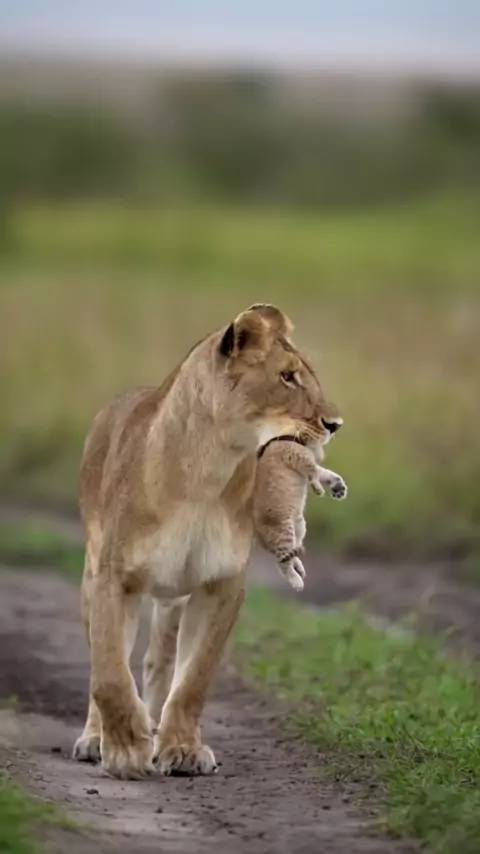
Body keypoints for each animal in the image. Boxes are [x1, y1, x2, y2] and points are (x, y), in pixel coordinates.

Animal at [254, 437, 347, 592]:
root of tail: (256, 534)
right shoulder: (296, 457)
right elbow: (313, 470)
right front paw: (322, 487)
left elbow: (323, 472)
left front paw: (338, 487)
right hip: (284, 530)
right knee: (281, 562)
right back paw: (296, 581)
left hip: (299, 525)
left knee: (290, 552)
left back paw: (299, 567)